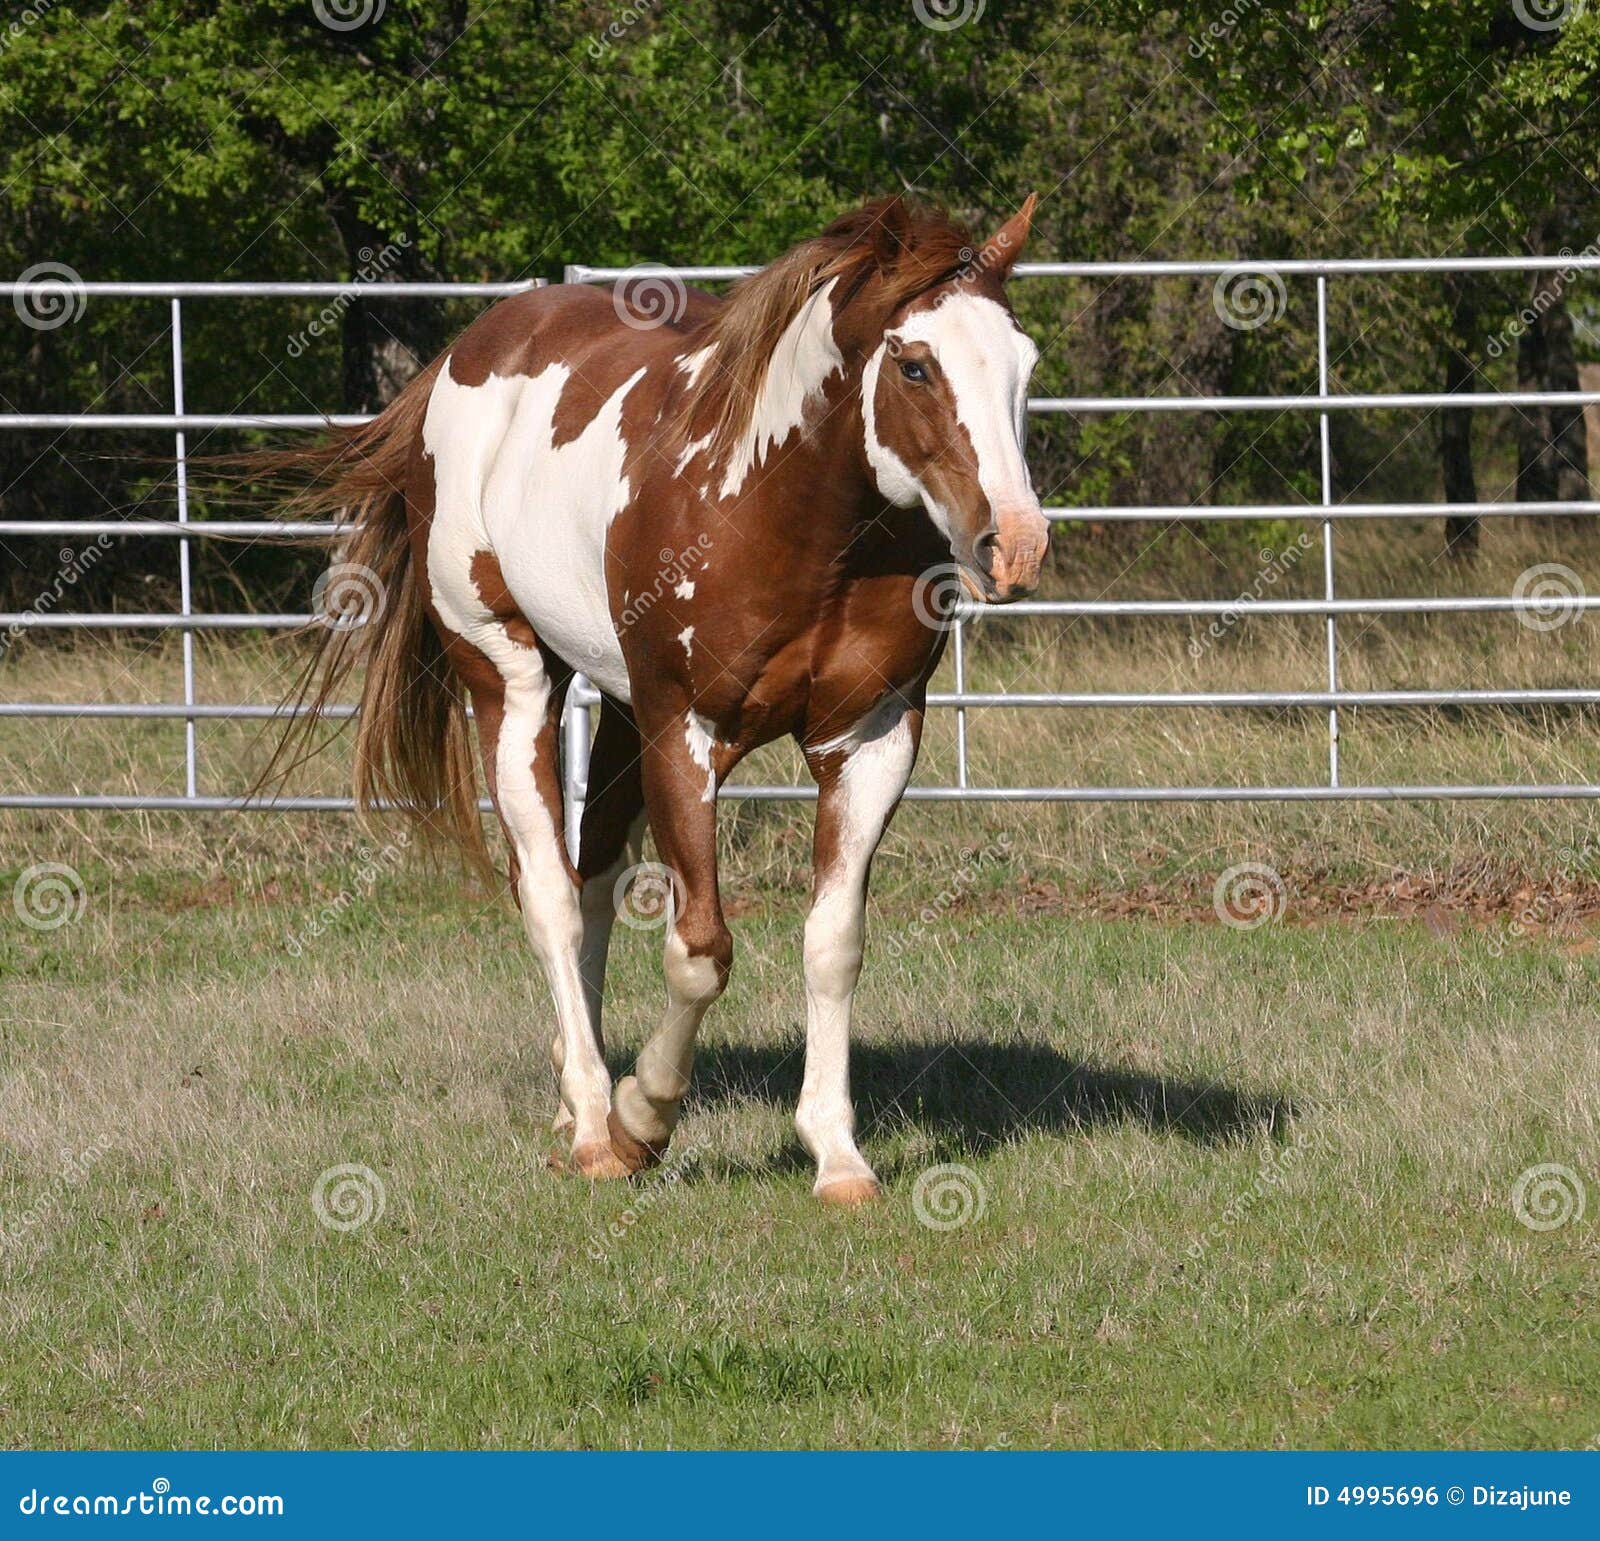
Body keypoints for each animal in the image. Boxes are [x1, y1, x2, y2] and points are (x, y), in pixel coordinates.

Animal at [265, 195, 1049, 1204]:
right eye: (915, 364)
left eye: (1025, 364)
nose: (1015, 544)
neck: (785, 515)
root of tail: (462, 357)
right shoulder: (687, 732)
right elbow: (700, 950)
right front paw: (645, 1115)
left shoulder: (870, 739)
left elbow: (833, 941)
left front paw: (835, 1152)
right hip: (513, 682)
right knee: (549, 894)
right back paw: (599, 1119)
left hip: (621, 710)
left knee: (592, 876)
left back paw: (580, 1100)